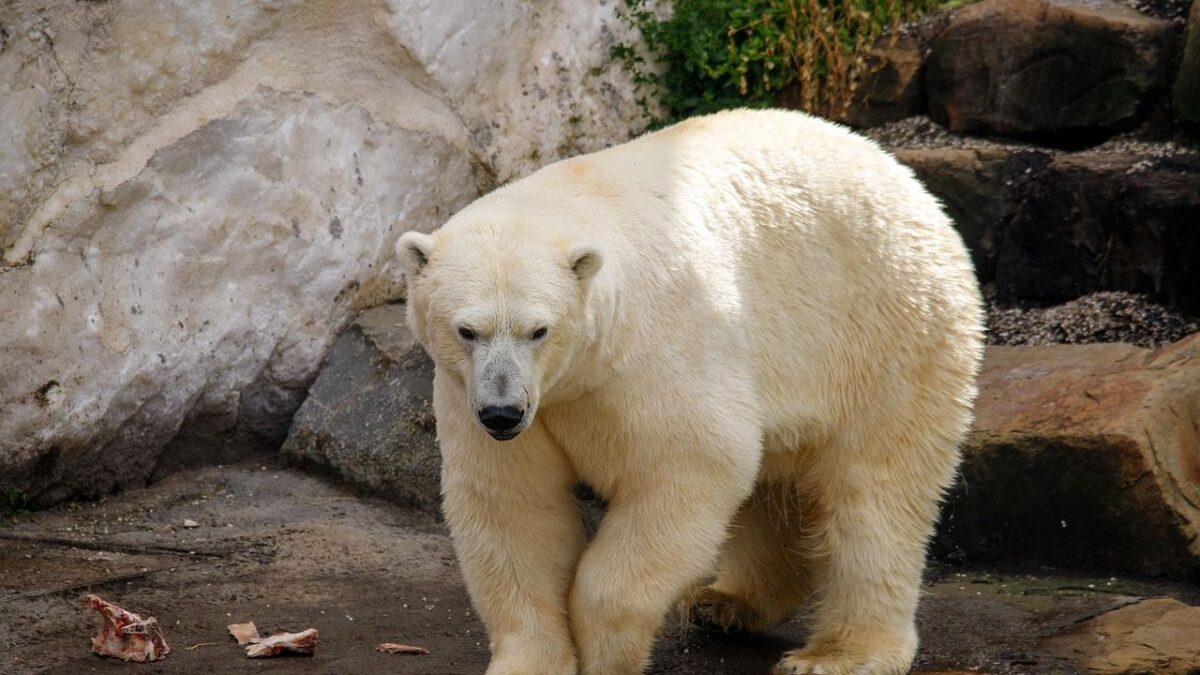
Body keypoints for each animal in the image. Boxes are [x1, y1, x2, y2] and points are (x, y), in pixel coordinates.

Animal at [394, 108, 985, 675]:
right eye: (466, 330)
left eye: (538, 330)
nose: (503, 413)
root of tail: (908, 181)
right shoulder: (484, 395)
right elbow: (513, 507)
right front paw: (531, 662)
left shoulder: (659, 350)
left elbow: (692, 463)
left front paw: (607, 653)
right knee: (776, 483)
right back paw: (728, 603)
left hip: (885, 330)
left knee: (875, 493)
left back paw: (838, 654)